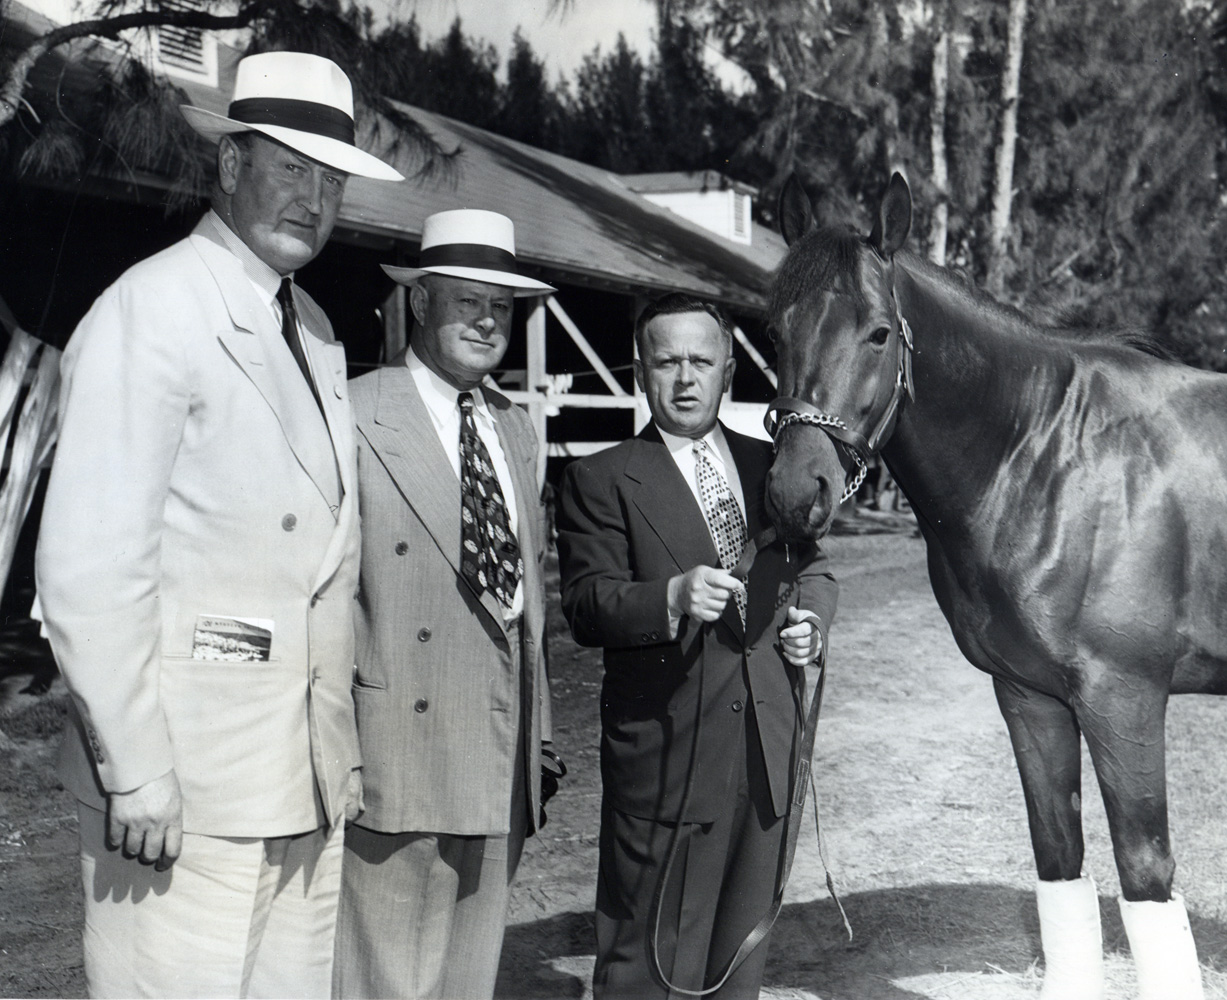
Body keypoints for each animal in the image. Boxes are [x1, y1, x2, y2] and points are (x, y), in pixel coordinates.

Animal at [760, 174, 1222, 1000]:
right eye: (773, 332)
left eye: (878, 333)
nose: (793, 491)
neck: (1052, 455)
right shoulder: (1029, 696)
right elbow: (1059, 863)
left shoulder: (1124, 699)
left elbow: (1144, 876)